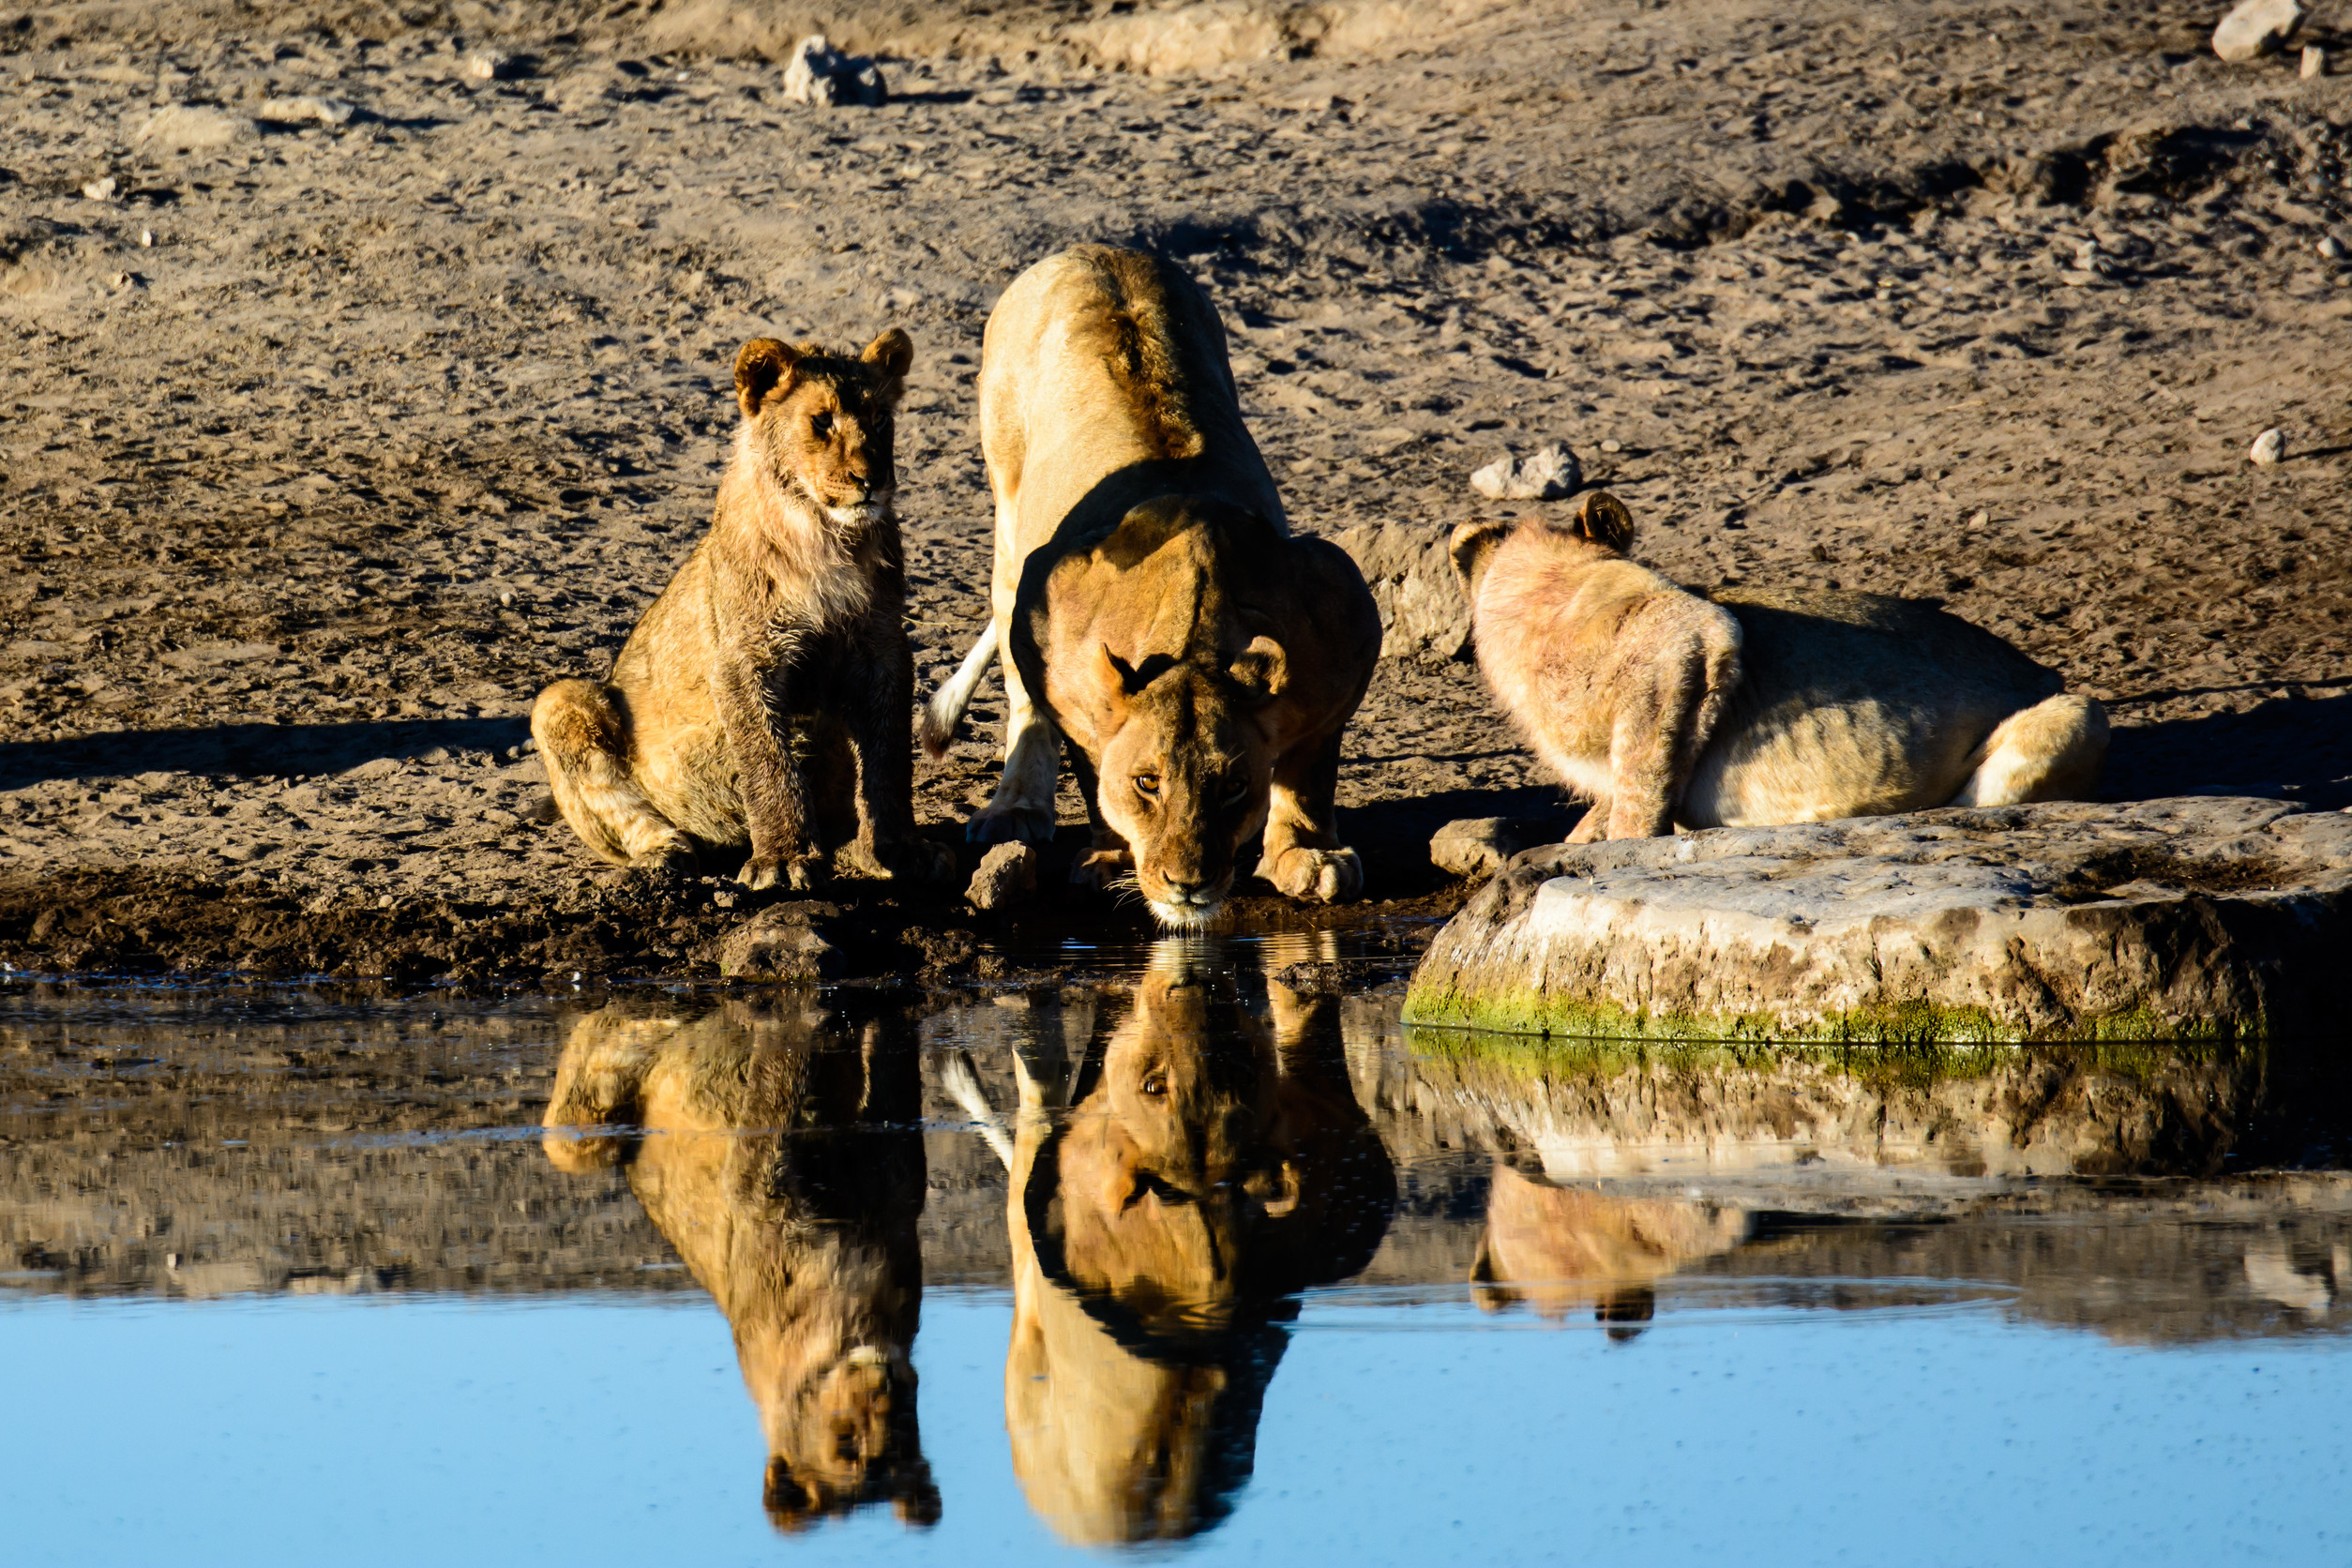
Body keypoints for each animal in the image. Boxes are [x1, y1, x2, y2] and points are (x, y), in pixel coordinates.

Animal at [912, 245, 1373, 926]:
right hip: (1010, 522)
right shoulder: (1053, 616)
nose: (1188, 884)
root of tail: (1092, 249)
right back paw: (1015, 806)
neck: (1195, 632)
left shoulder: (1339, 616)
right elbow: (1089, 761)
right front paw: (1107, 860)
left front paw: (1310, 855)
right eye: (1147, 783)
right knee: (1021, 688)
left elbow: (1309, 770)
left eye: (1233, 787)